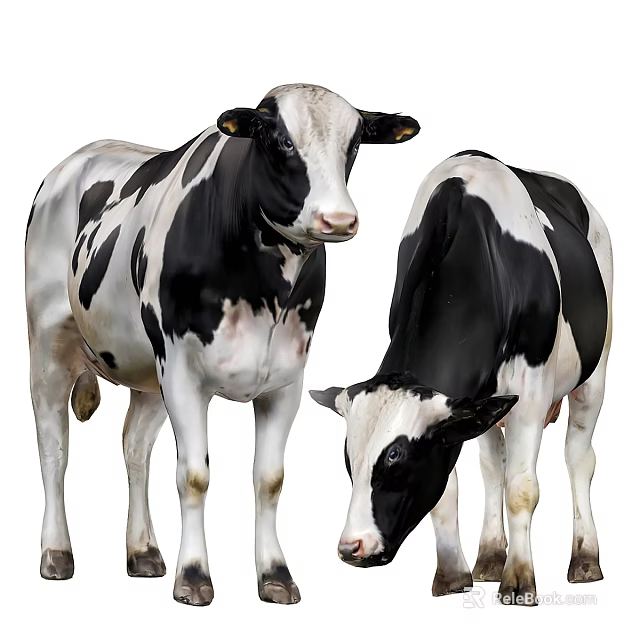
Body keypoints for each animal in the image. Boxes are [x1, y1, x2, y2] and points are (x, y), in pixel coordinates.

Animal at [24, 83, 420, 606]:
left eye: (354, 144)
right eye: (281, 140)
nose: (338, 219)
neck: (264, 290)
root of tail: (78, 157)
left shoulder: (286, 380)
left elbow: (269, 479)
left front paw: (275, 574)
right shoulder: (184, 374)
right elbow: (193, 476)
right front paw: (194, 576)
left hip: (148, 373)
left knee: (134, 449)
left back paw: (143, 552)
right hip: (48, 343)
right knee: (54, 449)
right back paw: (57, 553)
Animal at [311, 150, 612, 606]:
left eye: (397, 458)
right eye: (349, 459)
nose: (352, 547)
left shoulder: (531, 393)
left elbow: (522, 488)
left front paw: (519, 581)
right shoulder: (462, 408)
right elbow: (449, 491)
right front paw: (455, 575)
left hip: (596, 371)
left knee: (579, 457)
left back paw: (585, 559)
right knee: (492, 466)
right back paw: (489, 557)